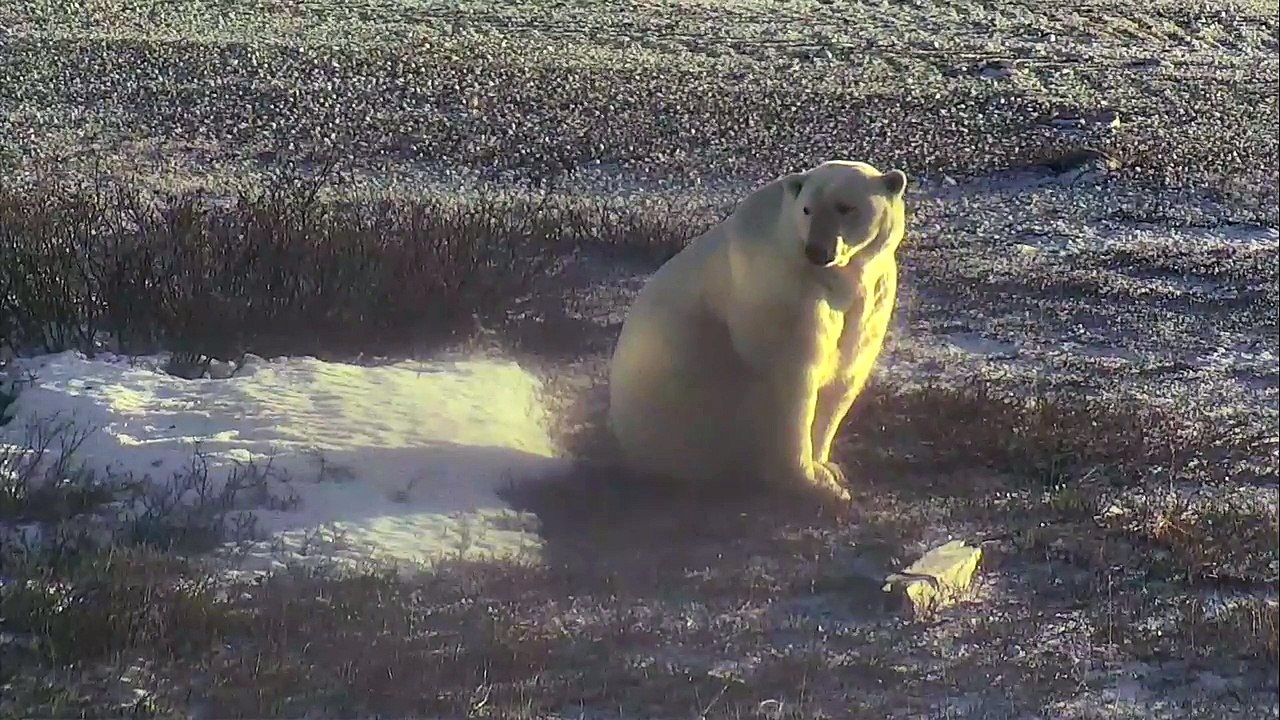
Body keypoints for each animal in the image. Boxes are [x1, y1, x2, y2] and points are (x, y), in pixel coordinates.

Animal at [606, 160, 909, 502]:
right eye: (807, 209)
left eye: (845, 207)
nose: (817, 250)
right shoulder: (787, 291)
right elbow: (793, 378)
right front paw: (814, 484)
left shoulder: (874, 292)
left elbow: (845, 373)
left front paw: (827, 467)